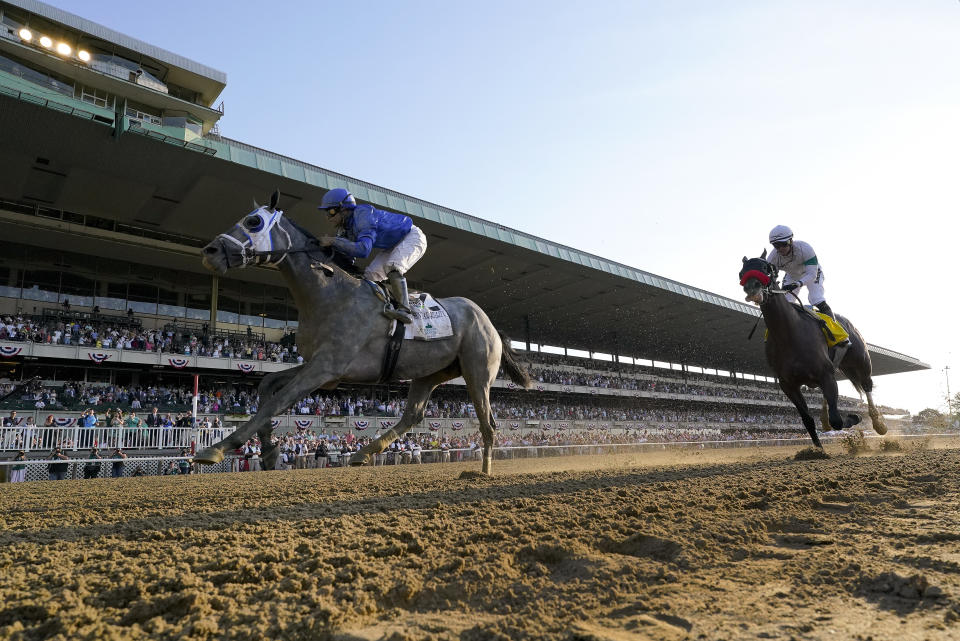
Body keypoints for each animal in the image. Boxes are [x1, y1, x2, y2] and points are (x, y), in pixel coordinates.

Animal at [191, 192, 528, 472]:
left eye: (253, 221)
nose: (209, 251)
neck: (328, 293)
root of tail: (489, 322)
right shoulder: (321, 367)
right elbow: (267, 385)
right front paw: (269, 451)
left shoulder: (327, 367)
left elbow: (279, 400)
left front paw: (217, 448)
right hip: (430, 372)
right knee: (413, 415)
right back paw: (363, 453)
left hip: (477, 372)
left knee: (488, 422)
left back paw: (483, 470)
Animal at [744, 252, 884, 448]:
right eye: (742, 271)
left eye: (766, 268)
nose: (752, 288)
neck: (789, 333)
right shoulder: (788, 384)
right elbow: (808, 420)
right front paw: (818, 450)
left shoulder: (825, 374)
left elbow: (837, 420)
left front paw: (854, 417)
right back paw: (824, 420)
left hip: (861, 363)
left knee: (867, 386)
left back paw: (878, 423)